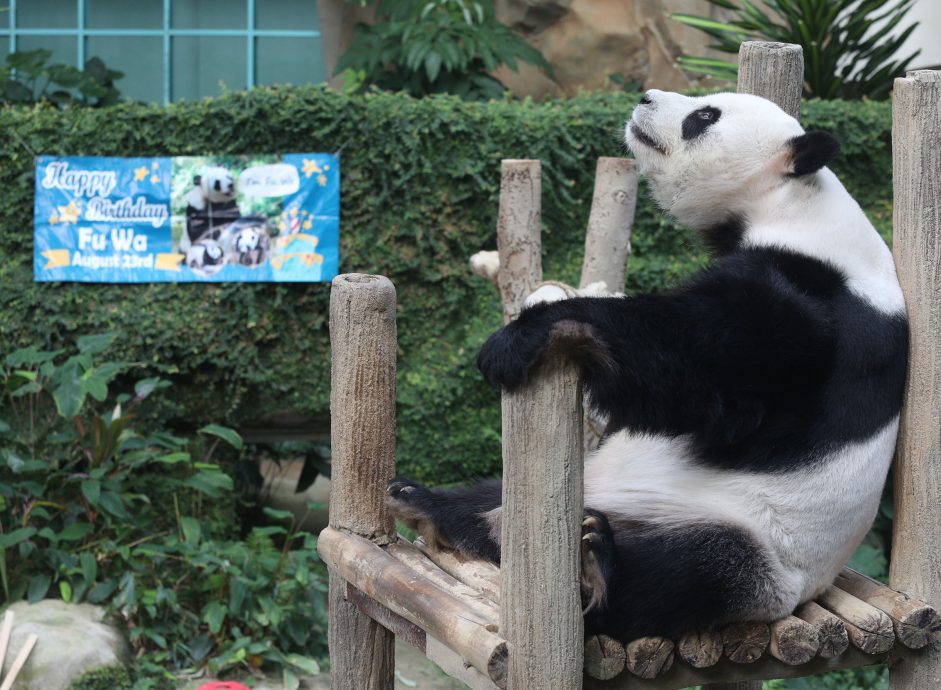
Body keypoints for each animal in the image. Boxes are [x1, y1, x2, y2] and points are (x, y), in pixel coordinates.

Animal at [386, 90, 908, 640]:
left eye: (704, 117)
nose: (646, 97)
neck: (795, 205)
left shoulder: (816, 303)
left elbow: (708, 365)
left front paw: (524, 335)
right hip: (591, 482)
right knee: (495, 496)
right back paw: (430, 505)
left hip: (757, 549)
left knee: (691, 569)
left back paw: (598, 569)